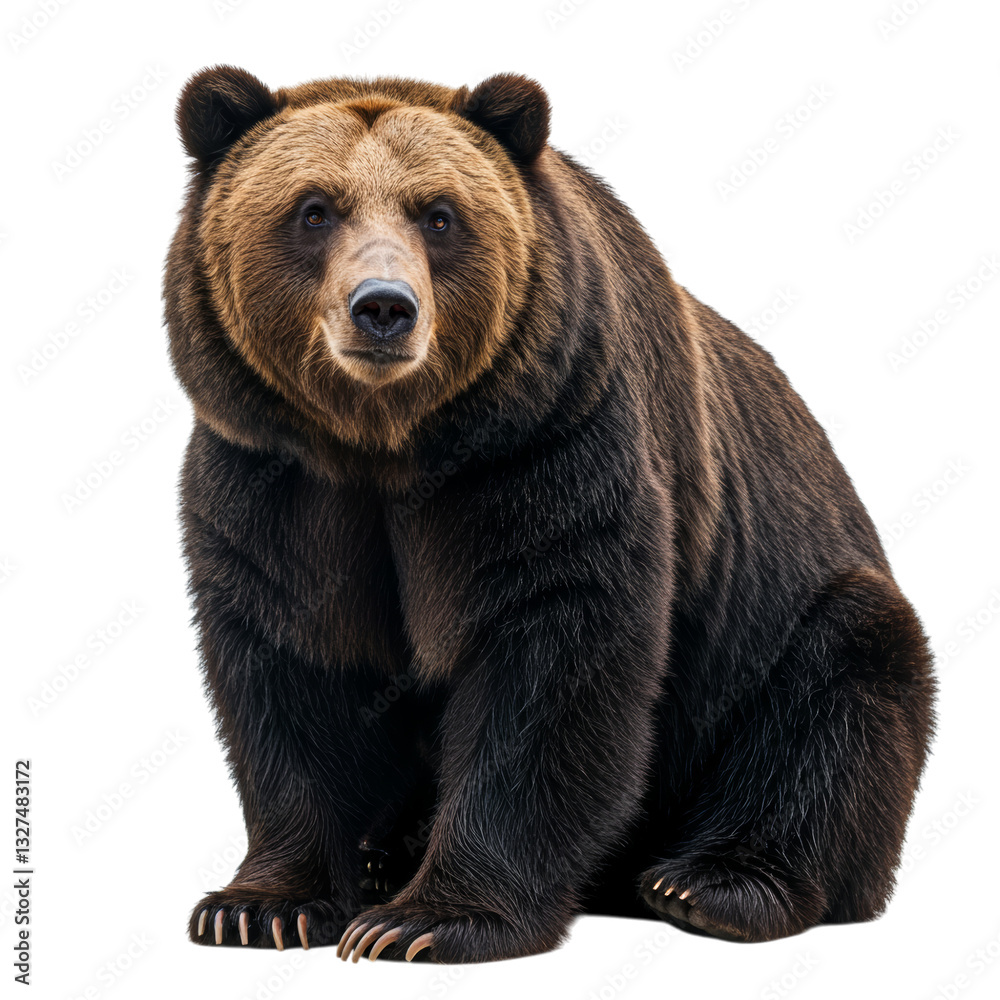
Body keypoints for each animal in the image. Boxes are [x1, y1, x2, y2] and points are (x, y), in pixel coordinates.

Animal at [165, 65, 936, 963]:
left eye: (439, 214)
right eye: (314, 209)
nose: (383, 307)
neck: (385, 445)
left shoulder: (546, 446)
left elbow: (550, 655)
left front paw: (427, 920)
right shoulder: (273, 474)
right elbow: (289, 657)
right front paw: (258, 906)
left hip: (781, 619)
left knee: (840, 689)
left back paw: (710, 884)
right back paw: (387, 856)